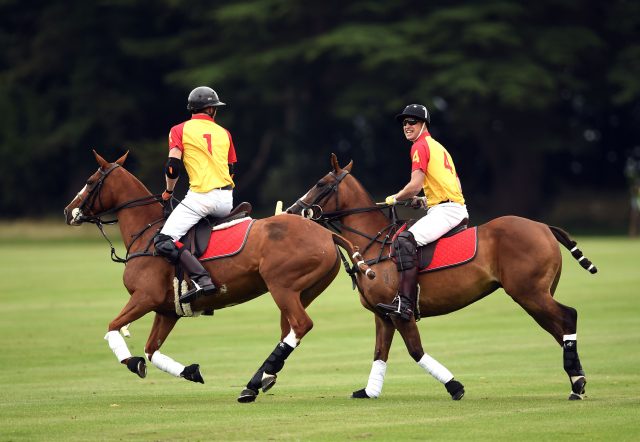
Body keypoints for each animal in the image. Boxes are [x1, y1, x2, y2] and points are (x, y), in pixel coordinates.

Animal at [62, 150, 372, 402]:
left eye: (90, 180)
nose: (67, 211)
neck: (147, 235)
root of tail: (328, 234)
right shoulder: (167, 310)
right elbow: (151, 349)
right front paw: (190, 371)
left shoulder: (144, 297)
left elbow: (113, 327)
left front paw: (132, 361)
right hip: (302, 292)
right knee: (289, 331)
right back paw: (260, 379)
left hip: (282, 287)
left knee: (300, 325)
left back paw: (254, 383)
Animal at [288, 153, 596, 400]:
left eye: (320, 183)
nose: (292, 211)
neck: (375, 244)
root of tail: (544, 227)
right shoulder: (382, 314)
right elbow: (379, 352)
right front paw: (369, 392)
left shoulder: (400, 313)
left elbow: (415, 350)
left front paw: (455, 387)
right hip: (534, 295)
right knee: (558, 328)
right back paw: (576, 380)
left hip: (530, 293)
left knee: (568, 316)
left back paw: (577, 384)